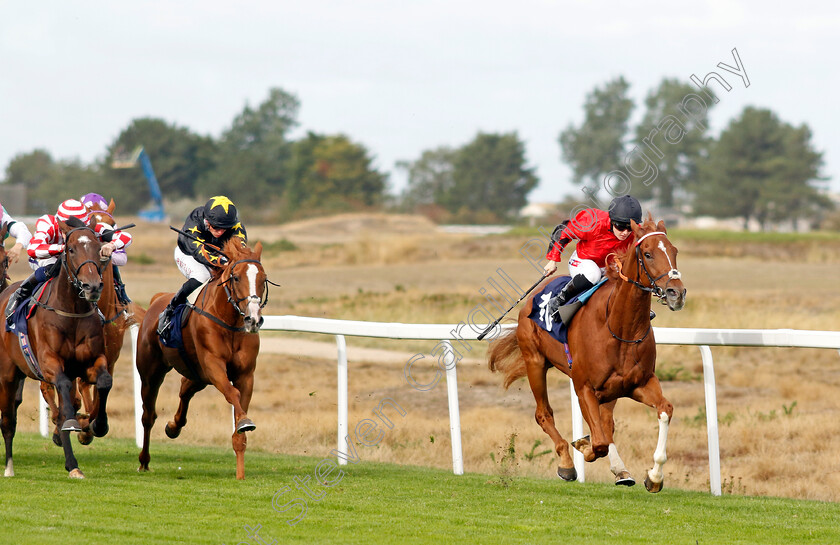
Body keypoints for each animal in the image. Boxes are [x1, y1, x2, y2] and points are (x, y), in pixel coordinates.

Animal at [0, 217, 112, 476]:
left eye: (97, 248)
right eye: (70, 250)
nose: (92, 287)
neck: (71, 312)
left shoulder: (91, 362)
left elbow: (104, 381)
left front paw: (99, 424)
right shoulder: (49, 363)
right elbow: (62, 393)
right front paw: (74, 423)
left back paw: (73, 465)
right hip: (8, 375)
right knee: (8, 421)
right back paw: (9, 466)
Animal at [137, 236, 270, 478]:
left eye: (263, 279)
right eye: (237, 277)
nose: (253, 320)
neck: (230, 322)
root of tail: (156, 301)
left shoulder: (245, 374)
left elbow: (240, 412)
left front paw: (240, 473)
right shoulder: (213, 366)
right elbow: (232, 393)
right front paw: (244, 422)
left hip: (196, 374)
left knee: (184, 389)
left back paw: (173, 427)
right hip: (151, 373)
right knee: (148, 415)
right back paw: (144, 460)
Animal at [488, 217, 684, 492]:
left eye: (674, 251)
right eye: (648, 254)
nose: (677, 293)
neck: (619, 327)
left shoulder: (639, 383)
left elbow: (664, 409)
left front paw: (654, 476)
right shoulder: (584, 387)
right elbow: (598, 443)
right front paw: (583, 446)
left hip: (609, 390)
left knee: (606, 423)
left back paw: (620, 470)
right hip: (535, 362)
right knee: (543, 414)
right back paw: (567, 464)